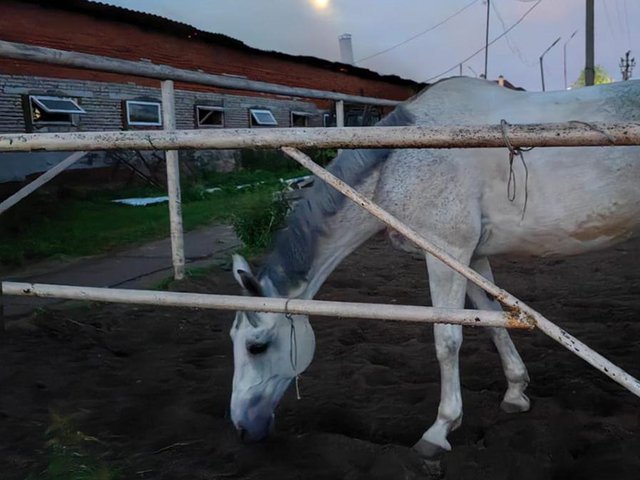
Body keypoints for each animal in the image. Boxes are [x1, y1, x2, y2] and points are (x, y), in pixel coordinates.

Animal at [228, 77, 636, 456]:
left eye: (257, 347)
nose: (243, 428)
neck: (402, 159)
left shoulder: (446, 251)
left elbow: (447, 339)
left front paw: (440, 430)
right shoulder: (469, 257)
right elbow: (492, 320)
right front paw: (516, 392)